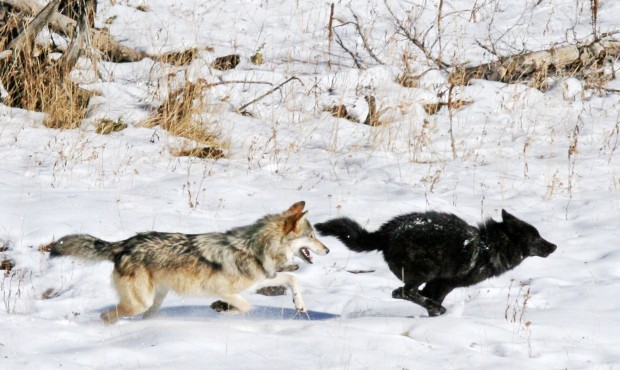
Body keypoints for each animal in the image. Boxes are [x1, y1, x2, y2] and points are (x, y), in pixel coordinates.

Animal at [48, 202, 330, 324]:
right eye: (312, 236)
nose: (327, 249)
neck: (255, 248)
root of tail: (124, 244)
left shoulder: (261, 279)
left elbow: (292, 278)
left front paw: (300, 304)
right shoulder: (224, 289)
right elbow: (246, 307)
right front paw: (221, 310)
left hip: (152, 303)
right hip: (140, 303)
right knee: (106, 316)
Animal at [314, 210, 556, 316]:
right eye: (536, 238)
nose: (554, 246)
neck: (489, 246)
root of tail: (385, 233)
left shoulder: (435, 286)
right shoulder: (444, 284)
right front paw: (436, 312)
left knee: (404, 292)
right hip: (425, 273)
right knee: (401, 292)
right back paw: (437, 308)